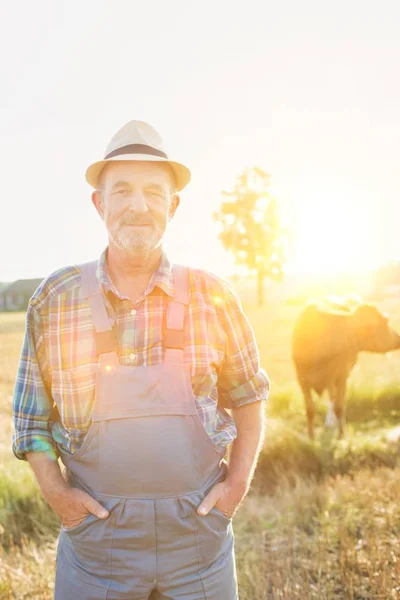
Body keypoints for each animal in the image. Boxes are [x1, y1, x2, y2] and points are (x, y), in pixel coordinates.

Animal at [290, 298, 400, 438]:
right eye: (385, 322)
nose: (398, 338)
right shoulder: (302, 381)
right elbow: (310, 410)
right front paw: (311, 437)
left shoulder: (342, 376)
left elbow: (339, 407)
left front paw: (341, 435)